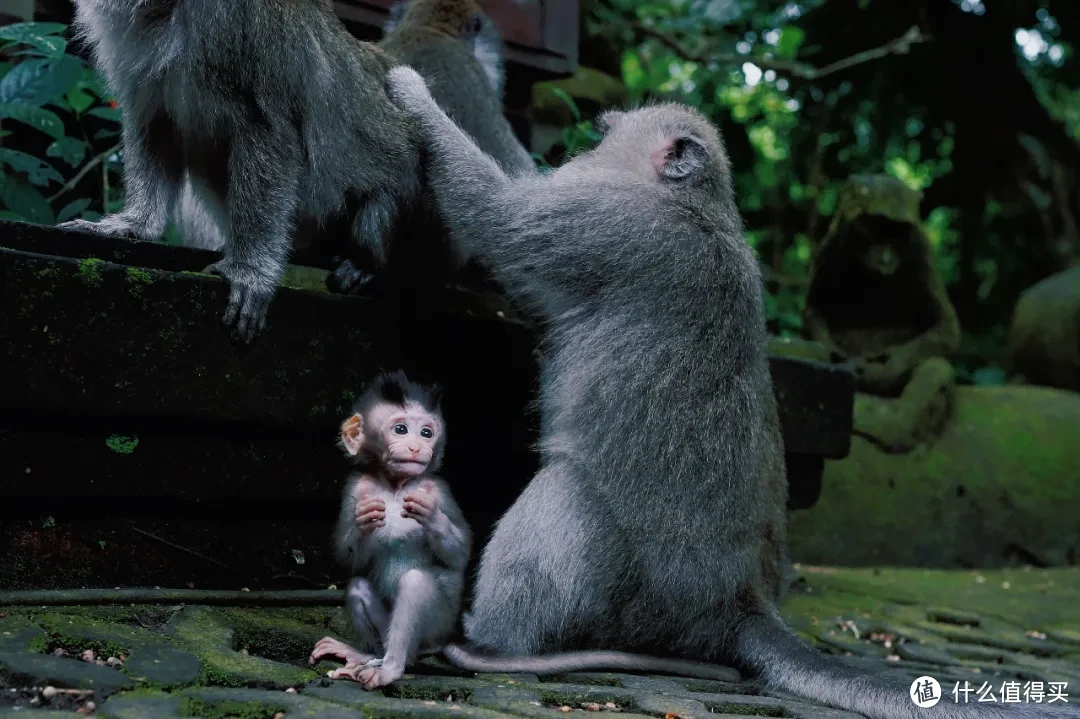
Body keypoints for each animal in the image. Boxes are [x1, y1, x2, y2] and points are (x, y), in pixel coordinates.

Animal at [308, 369, 468, 690]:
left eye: (427, 433)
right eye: (401, 429)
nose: (417, 447)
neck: (396, 485)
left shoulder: (438, 489)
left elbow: (460, 553)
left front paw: (431, 516)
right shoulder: (356, 487)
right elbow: (346, 558)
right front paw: (363, 520)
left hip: (436, 626)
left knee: (415, 583)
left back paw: (391, 667)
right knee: (358, 586)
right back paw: (365, 655)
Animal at [384, 67, 1075, 716]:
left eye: (603, 137)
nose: (577, 153)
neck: (698, 207)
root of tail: (735, 605)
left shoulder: (611, 224)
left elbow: (501, 218)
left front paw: (413, 92)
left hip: (640, 600)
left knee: (570, 495)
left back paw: (490, 642)